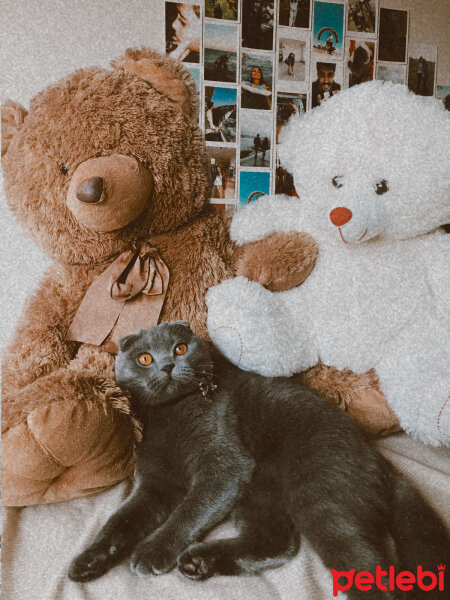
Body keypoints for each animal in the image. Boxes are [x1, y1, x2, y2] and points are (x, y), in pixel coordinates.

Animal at [68, 322, 448, 596]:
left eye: (180, 347)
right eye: (144, 358)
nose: (167, 364)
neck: (171, 415)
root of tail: (380, 463)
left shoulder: (225, 465)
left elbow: (187, 512)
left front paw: (153, 551)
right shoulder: (154, 483)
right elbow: (121, 520)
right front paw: (88, 561)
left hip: (320, 496)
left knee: (368, 570)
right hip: (260, 492)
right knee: (277, 541)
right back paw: (199, 562)